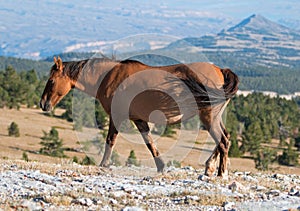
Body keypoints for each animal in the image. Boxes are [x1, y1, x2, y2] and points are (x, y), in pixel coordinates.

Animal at [39, 56, 238, 178]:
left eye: (51, 80)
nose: (43, 104)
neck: (109, 76)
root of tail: (220, 70)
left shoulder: (116, 116)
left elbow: (110, 140)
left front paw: (103, 164)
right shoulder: (140, 120)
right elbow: (150, 144)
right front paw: (161, 167)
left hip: (208, 117)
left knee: (222, 141)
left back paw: (221, 173)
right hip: (213, 117)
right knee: (226, 138)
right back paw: (209, 167)